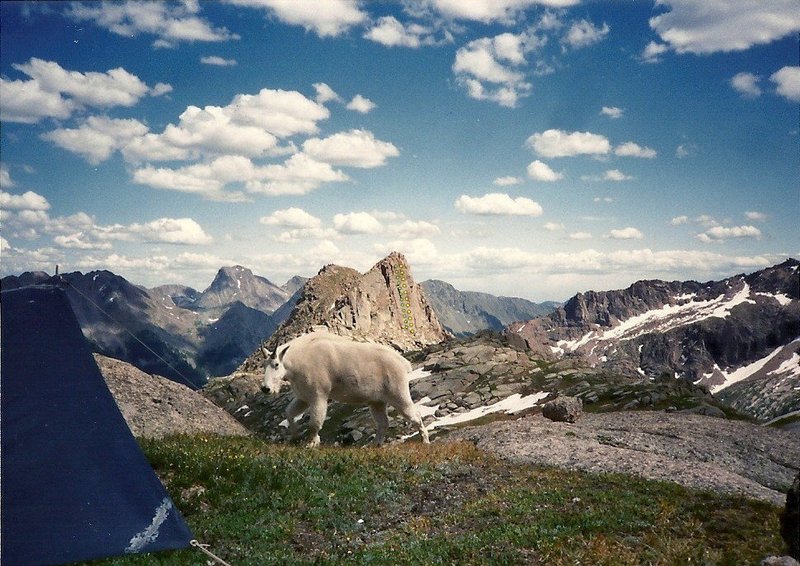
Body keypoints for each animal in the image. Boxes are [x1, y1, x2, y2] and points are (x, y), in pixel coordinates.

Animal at [262, 332, 428, 448]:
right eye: (264, 365)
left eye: (276, 364)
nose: (265, 388)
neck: (296, 363)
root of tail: (403, 363)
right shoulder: (303, 397)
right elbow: (289, 413)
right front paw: (295, 437)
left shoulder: (318, 395)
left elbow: (315, 422)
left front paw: (312, 443)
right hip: (377, 401)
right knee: (383, 423)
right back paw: (375, 445)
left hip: (398, 393)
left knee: (415, 415)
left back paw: (425, 441)